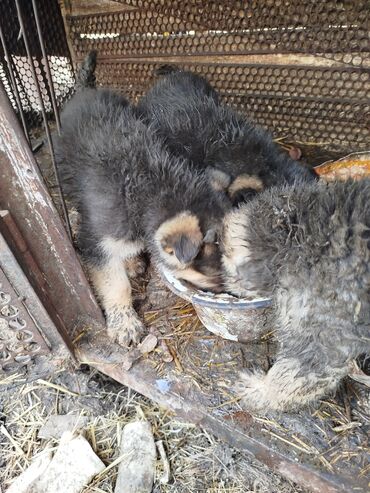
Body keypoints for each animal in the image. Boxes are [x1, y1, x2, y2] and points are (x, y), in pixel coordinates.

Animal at [54, 61, 228, 348]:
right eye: (215, 276)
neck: (152, 189)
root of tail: (85, 92)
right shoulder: (99, 244)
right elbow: (116, 284)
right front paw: (125, 324)